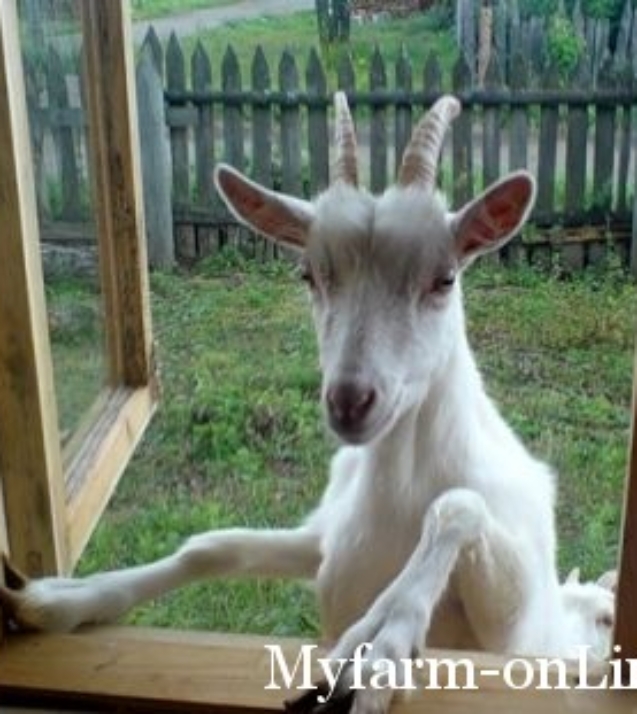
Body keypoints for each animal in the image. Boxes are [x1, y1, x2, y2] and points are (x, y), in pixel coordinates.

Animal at [0, 93, 615, 714]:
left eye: (444, 279)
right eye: (309, 274)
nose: (350, 401)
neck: (398, 492)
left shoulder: (513, 633)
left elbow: (457, 506)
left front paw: (378, 647)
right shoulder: (324, 540)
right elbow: (213, 547)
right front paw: (58, 599)